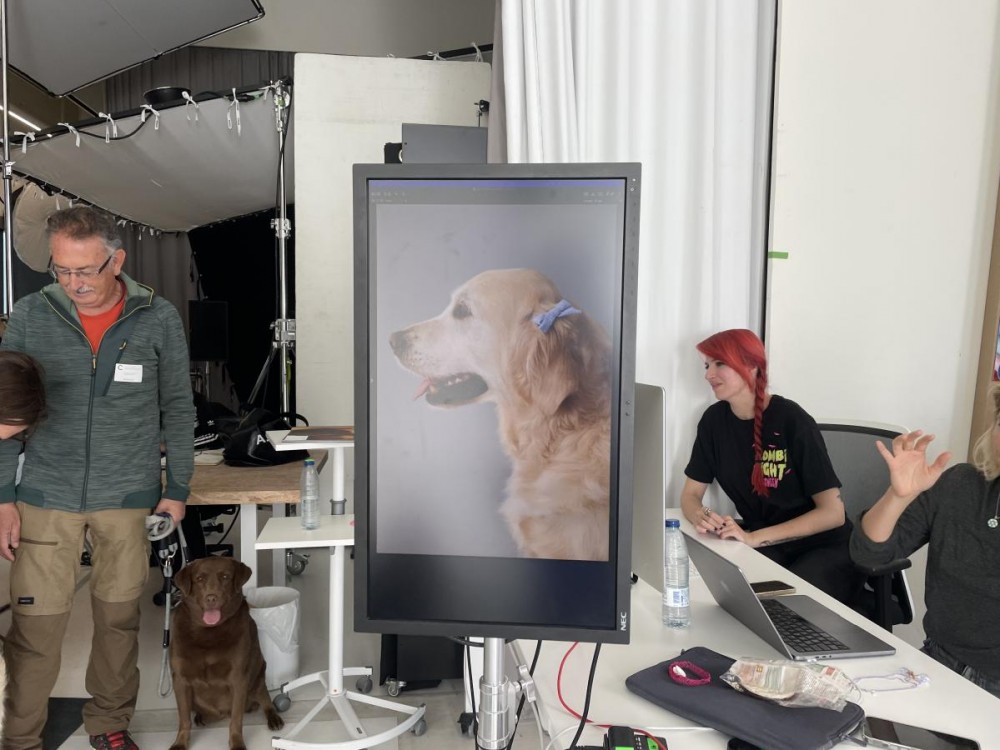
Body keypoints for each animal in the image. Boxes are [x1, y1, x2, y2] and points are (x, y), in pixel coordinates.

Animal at [169, 556, 283, 750]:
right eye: (199, 579)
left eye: (225, 577)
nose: (211, 598)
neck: (208, 632)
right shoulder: (180, 680)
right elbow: (184, 719)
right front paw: (180, 743)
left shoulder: (238, 678)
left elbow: (236, 720)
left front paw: (237, 743)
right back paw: (202, 717)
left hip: (258, 674)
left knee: (265, 698)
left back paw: (273, 717)